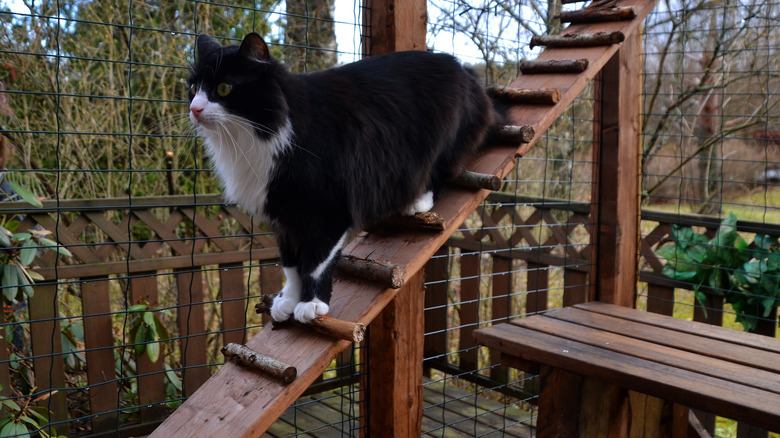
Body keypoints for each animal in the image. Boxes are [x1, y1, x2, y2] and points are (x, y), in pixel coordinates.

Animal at [188, 32, 494, 324]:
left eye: (224, 88)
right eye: (192, 89)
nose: (194, 109)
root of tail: (460, 66)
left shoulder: (329, 211)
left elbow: (315, 263)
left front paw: (311, 305)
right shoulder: (284, 217)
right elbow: (291, 265)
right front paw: (288, 301)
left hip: (440, 143)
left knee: (438, 172)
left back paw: (417, 202)